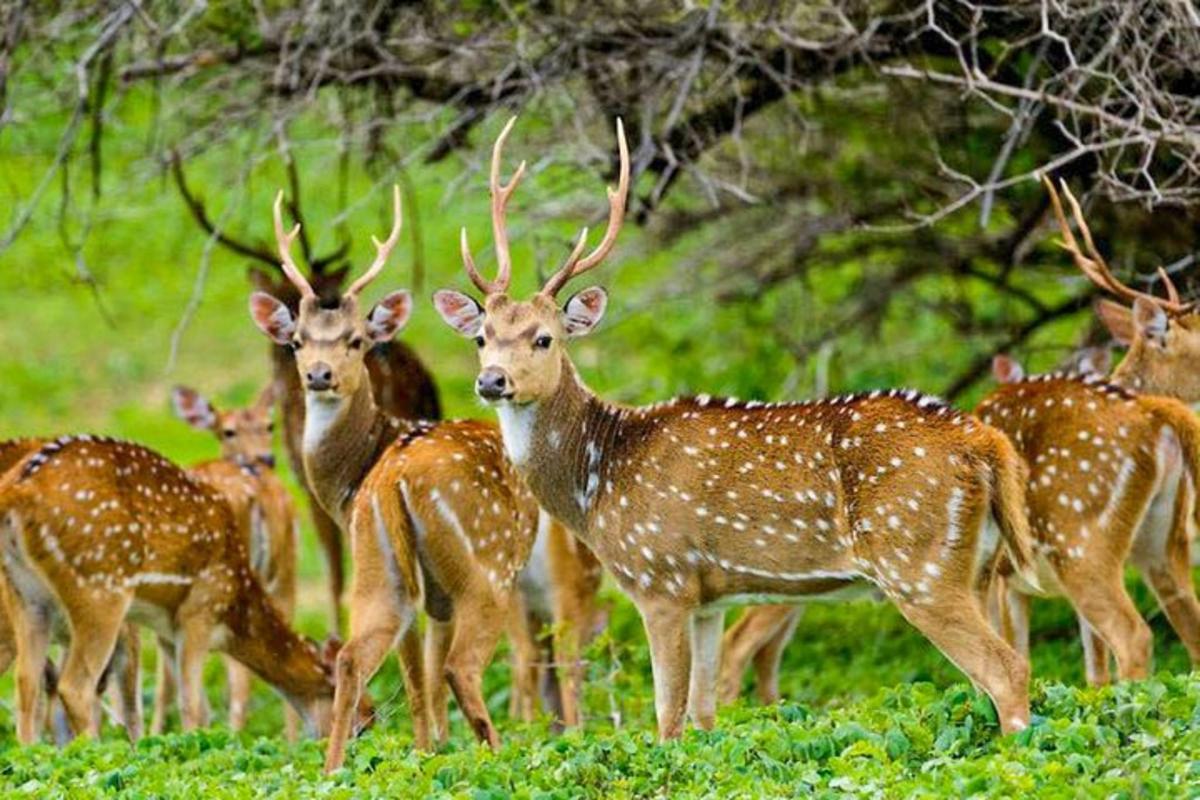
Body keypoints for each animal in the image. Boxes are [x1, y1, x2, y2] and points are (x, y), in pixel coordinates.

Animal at [0, 434, 352, 743]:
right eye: (343, 695)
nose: (359, 731)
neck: (235, 607)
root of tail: (18, 490)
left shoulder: (168, 630)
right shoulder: (199, 612)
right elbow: (191, 703)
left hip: (26, 595)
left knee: (26, 682)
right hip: (99, 588)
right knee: (73, 685)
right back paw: (91, 750)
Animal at [169, 381, 300, 738]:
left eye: (269, 425)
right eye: (228, 431)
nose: (266, 458)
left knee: (240, 677)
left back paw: (233, 736)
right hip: (286, 572)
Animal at [248, 184, 566, 772]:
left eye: (355, 340)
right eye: (296, 340)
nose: (318, 375)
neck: (353, 471)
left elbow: (420, 670)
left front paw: (430, 747)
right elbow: (427, 669)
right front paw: (434, 746)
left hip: (393, 571)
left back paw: (334, 768)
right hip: (487, 567)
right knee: (488, 658)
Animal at [434, 117, 1041, 738]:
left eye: (544, 338)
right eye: (481, 337)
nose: (492, 381)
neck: (598, 481)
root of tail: (984, 443)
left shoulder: (661, 578)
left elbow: (667, 717)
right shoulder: (709, 599)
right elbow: (703, 716)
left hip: (917, 562)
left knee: (1007, 670)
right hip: (978, 565)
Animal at [974, 179, 1200, 681]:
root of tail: (1156, 415)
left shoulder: (1002, 576)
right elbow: (1092, 672)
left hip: (1081, 539)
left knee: (1134, 636)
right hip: (1160, 540)